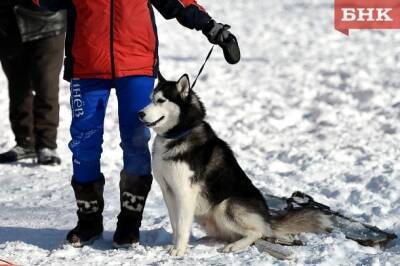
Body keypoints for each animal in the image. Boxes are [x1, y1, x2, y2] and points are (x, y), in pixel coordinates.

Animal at [139, 74, 332, 256]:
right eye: (150, 98)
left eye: (161, 100)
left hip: (225, 206)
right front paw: (174, 245)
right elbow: (175, 224)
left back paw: (236, 246)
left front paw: (178, 250)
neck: (178, 135)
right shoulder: (168, 191)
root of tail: (268, 218)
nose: (139, 113)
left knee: (258, 232)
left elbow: (182, 225)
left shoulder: (185, 192)